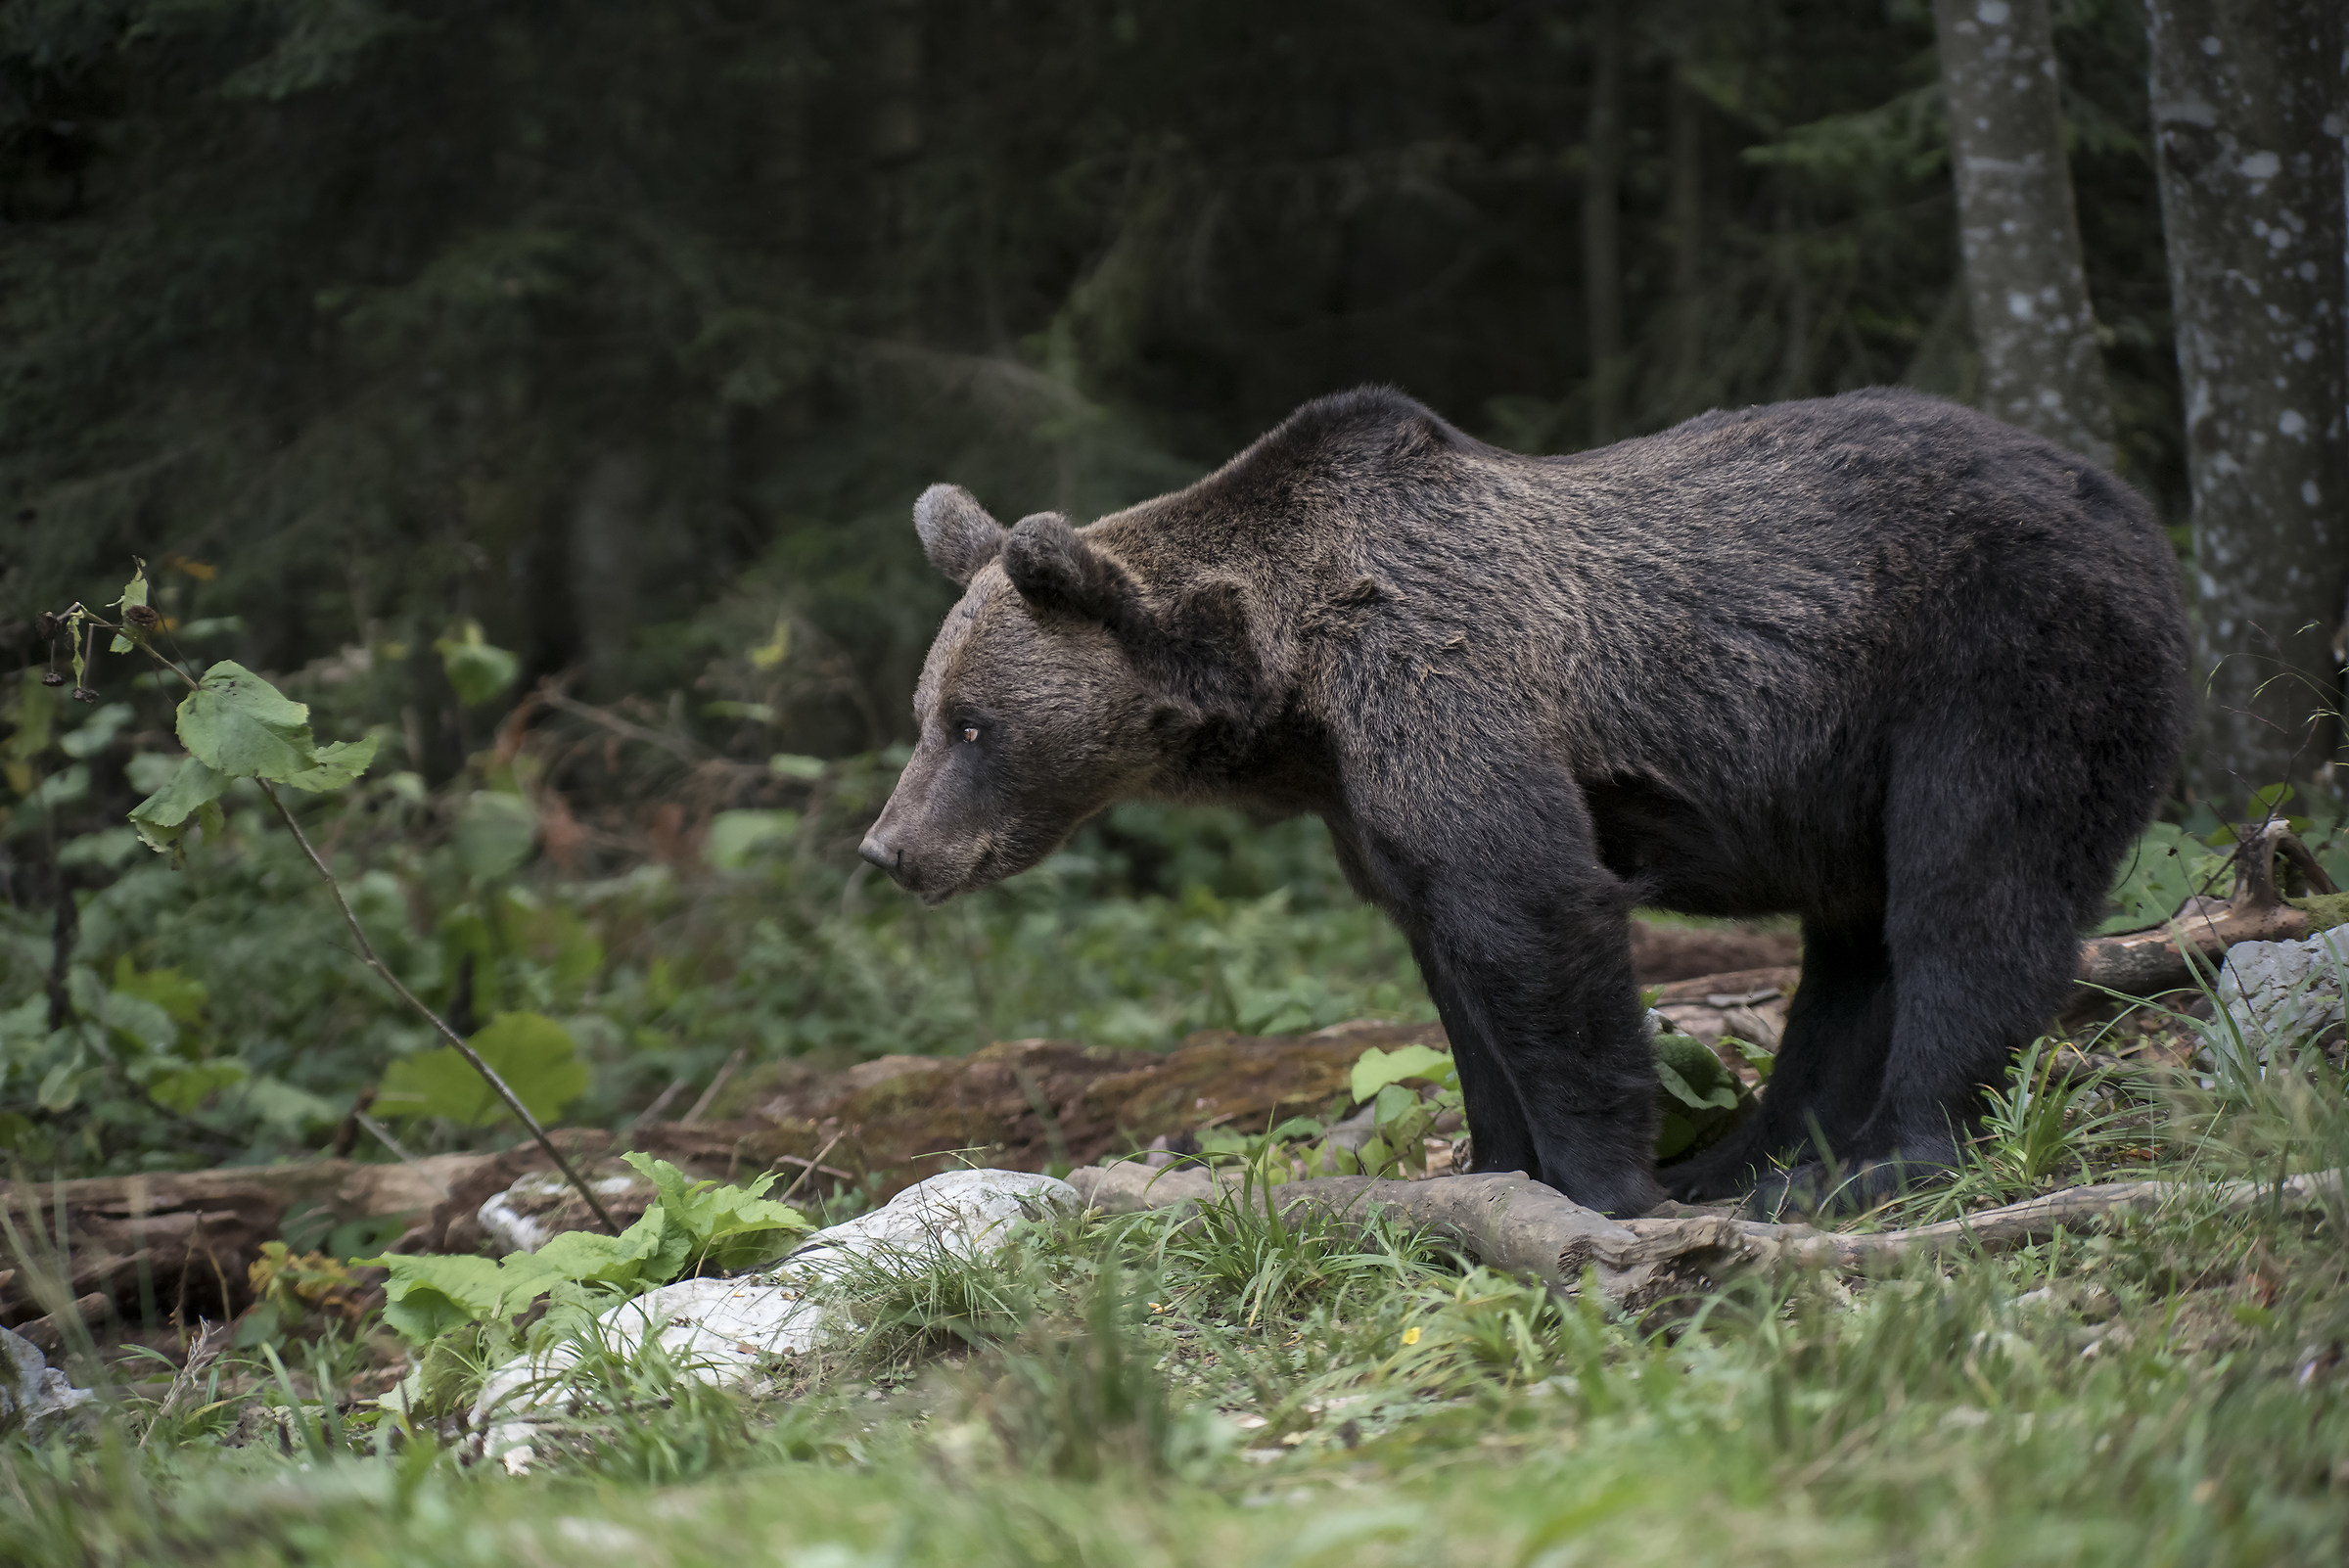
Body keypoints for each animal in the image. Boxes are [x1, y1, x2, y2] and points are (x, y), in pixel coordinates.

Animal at [860, 386, 2191, 1218]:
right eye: (925, 711)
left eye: (972, 724)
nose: (890, 850)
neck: (1291, 688)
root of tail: (2128, 500)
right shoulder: (1368, 809)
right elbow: (1455, 969)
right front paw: (1496, 1170)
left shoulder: (1441, 684)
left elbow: (1530, 911)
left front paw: (1608, 1187)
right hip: (1848, 762)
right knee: (1852, 946)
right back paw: (1764, 1158)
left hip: (1998, 656)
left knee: (1973, 889)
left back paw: (1883, 1160)